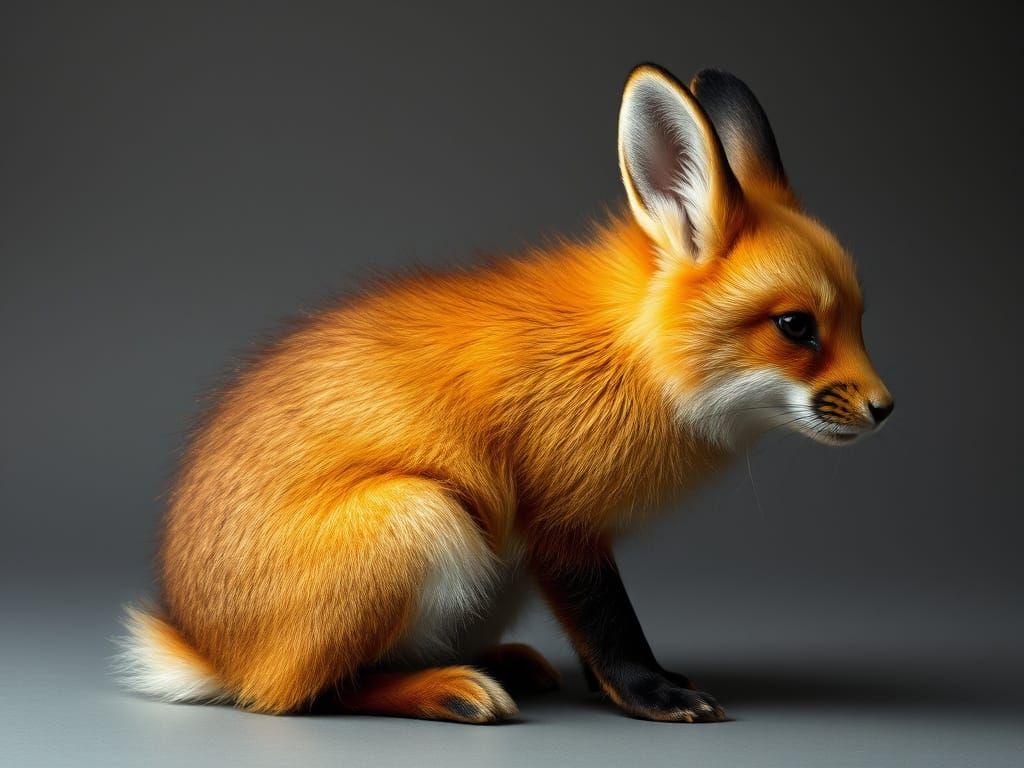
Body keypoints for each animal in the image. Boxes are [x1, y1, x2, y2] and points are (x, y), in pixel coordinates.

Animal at [116, 63, 893, 724]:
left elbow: (592, 633)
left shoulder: (555, 538)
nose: (886, 408)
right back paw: (447, 690)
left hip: (484, 566)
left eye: (860, 319)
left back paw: (498, 662)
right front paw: (649, 692)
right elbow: (610, 624)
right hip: (424, 517)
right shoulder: (559, 522)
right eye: (795, 327)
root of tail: (207, 651)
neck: (631, 358)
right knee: (303, 696)